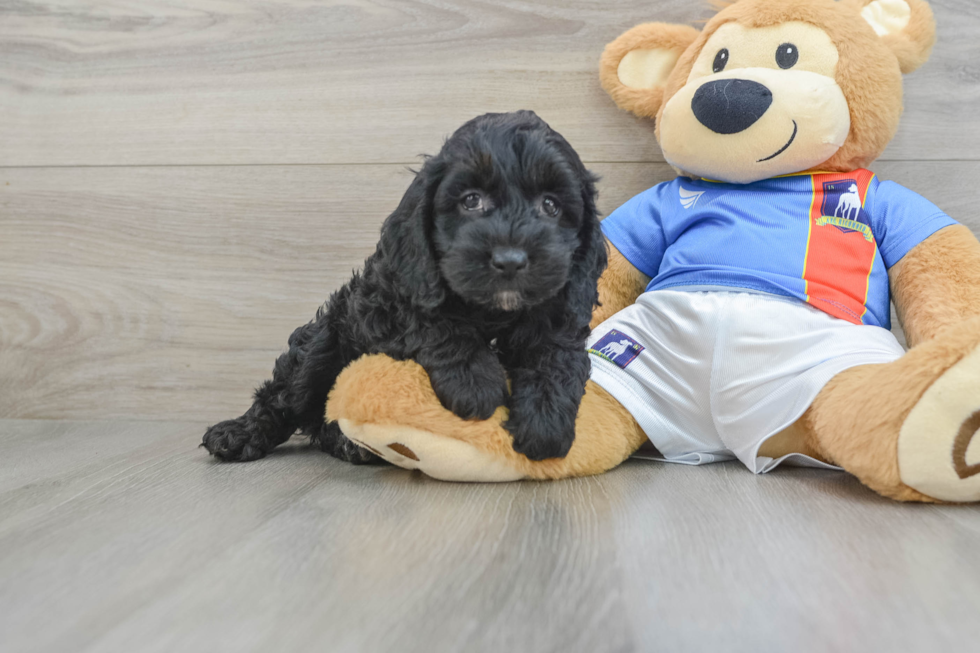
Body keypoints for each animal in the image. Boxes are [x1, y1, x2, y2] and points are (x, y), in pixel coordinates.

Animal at [202, 109, 604, 460]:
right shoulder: (391, 297)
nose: (510, 260)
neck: (491, 310)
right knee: (285, 395)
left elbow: (554, 359)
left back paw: (347, 443)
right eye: (471, 200)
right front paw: (475, 381)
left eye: (550, 206)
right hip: (320, 342)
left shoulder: (562, 311)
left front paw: (545, 421)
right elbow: (435, 322)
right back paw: (238, 434)